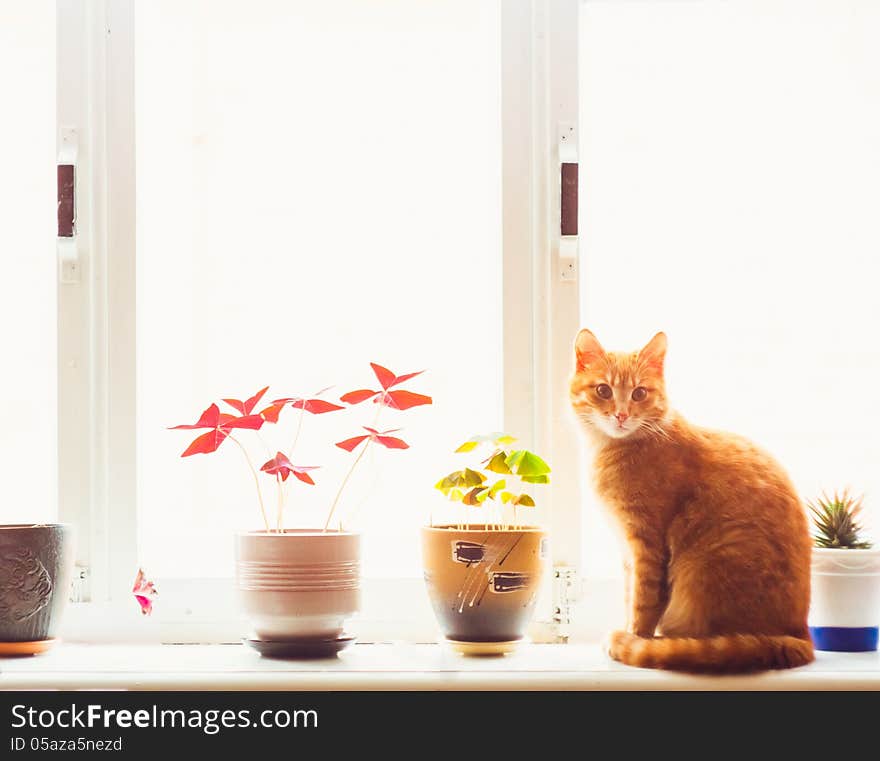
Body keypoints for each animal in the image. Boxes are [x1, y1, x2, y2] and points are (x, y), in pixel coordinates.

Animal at [572, 328, 812, 672]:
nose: (621, 415)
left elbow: (643, 602)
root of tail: (801, 637)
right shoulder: (627, 550)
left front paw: (634, 638)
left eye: (639, 394)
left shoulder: (646, 545)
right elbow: (630, 595)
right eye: (603, 390)